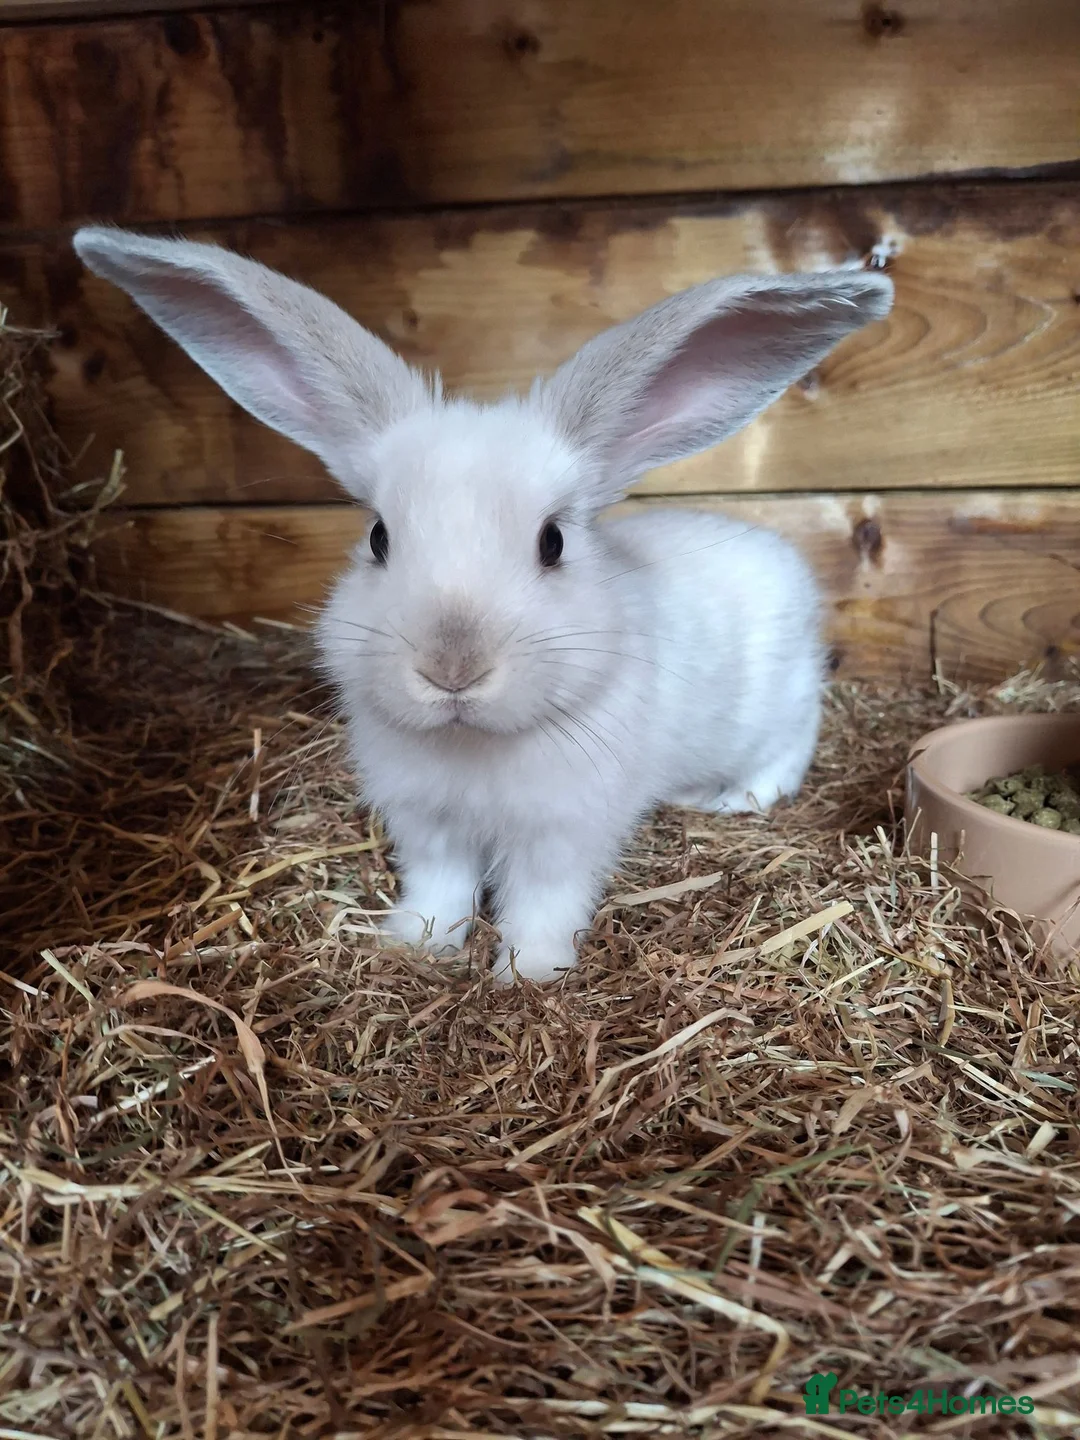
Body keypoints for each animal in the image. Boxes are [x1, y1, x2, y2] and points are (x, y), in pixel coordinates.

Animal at [73, 225, 893, 982]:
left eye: (553, 542)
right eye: (378, 537)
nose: (453, 669)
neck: (472, 746)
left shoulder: (562, 836)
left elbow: (542, 905)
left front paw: (526, 977)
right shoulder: (427, 825)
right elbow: (443, 889)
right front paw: (413, 946)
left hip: (781, 709)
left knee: (789, 751)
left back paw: (730, 800)